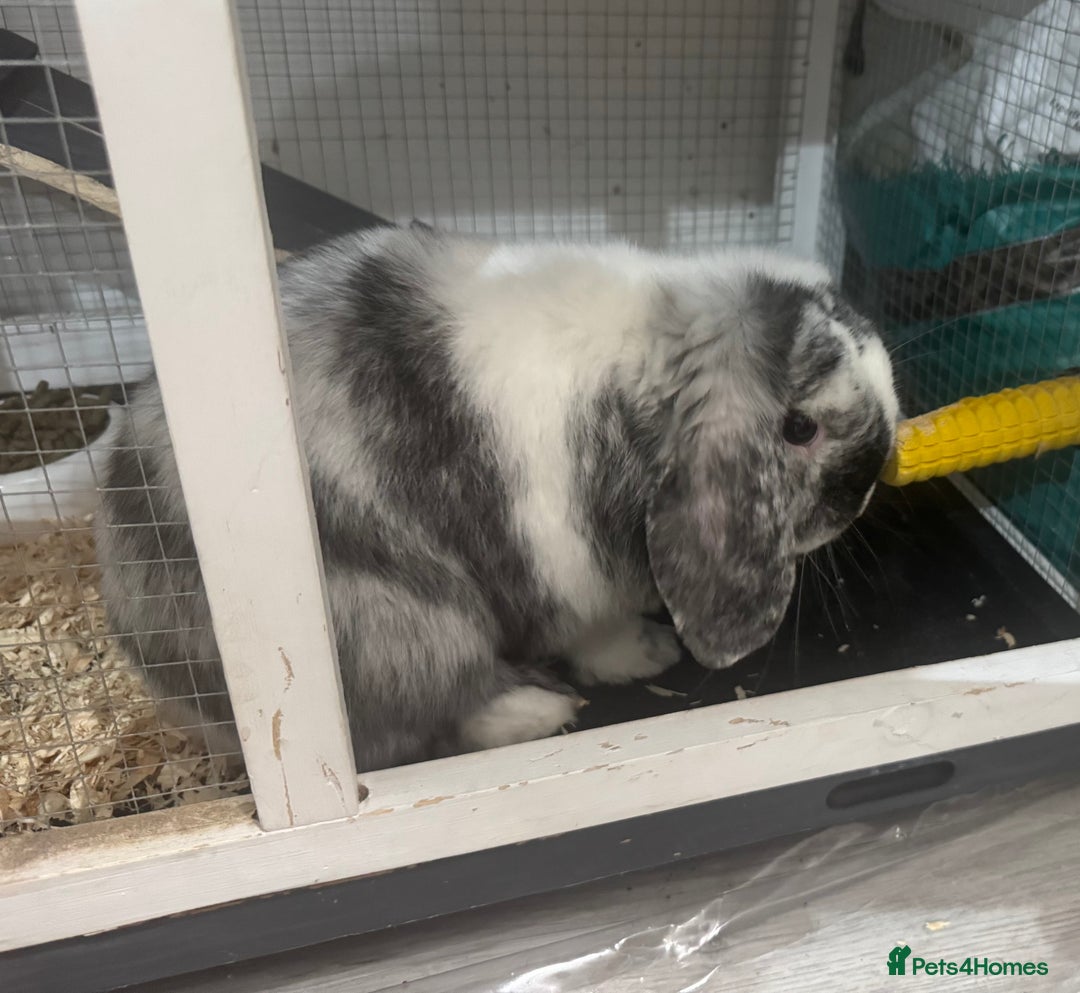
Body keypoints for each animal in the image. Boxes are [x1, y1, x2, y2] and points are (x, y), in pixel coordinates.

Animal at [97, 224, 899, 773]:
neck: (632, 394)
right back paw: (538, 710)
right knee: (426, 722)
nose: (863, 493)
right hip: (413, 630)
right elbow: (595, 632)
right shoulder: (569, 573)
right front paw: (648, 652)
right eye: (799, 427)